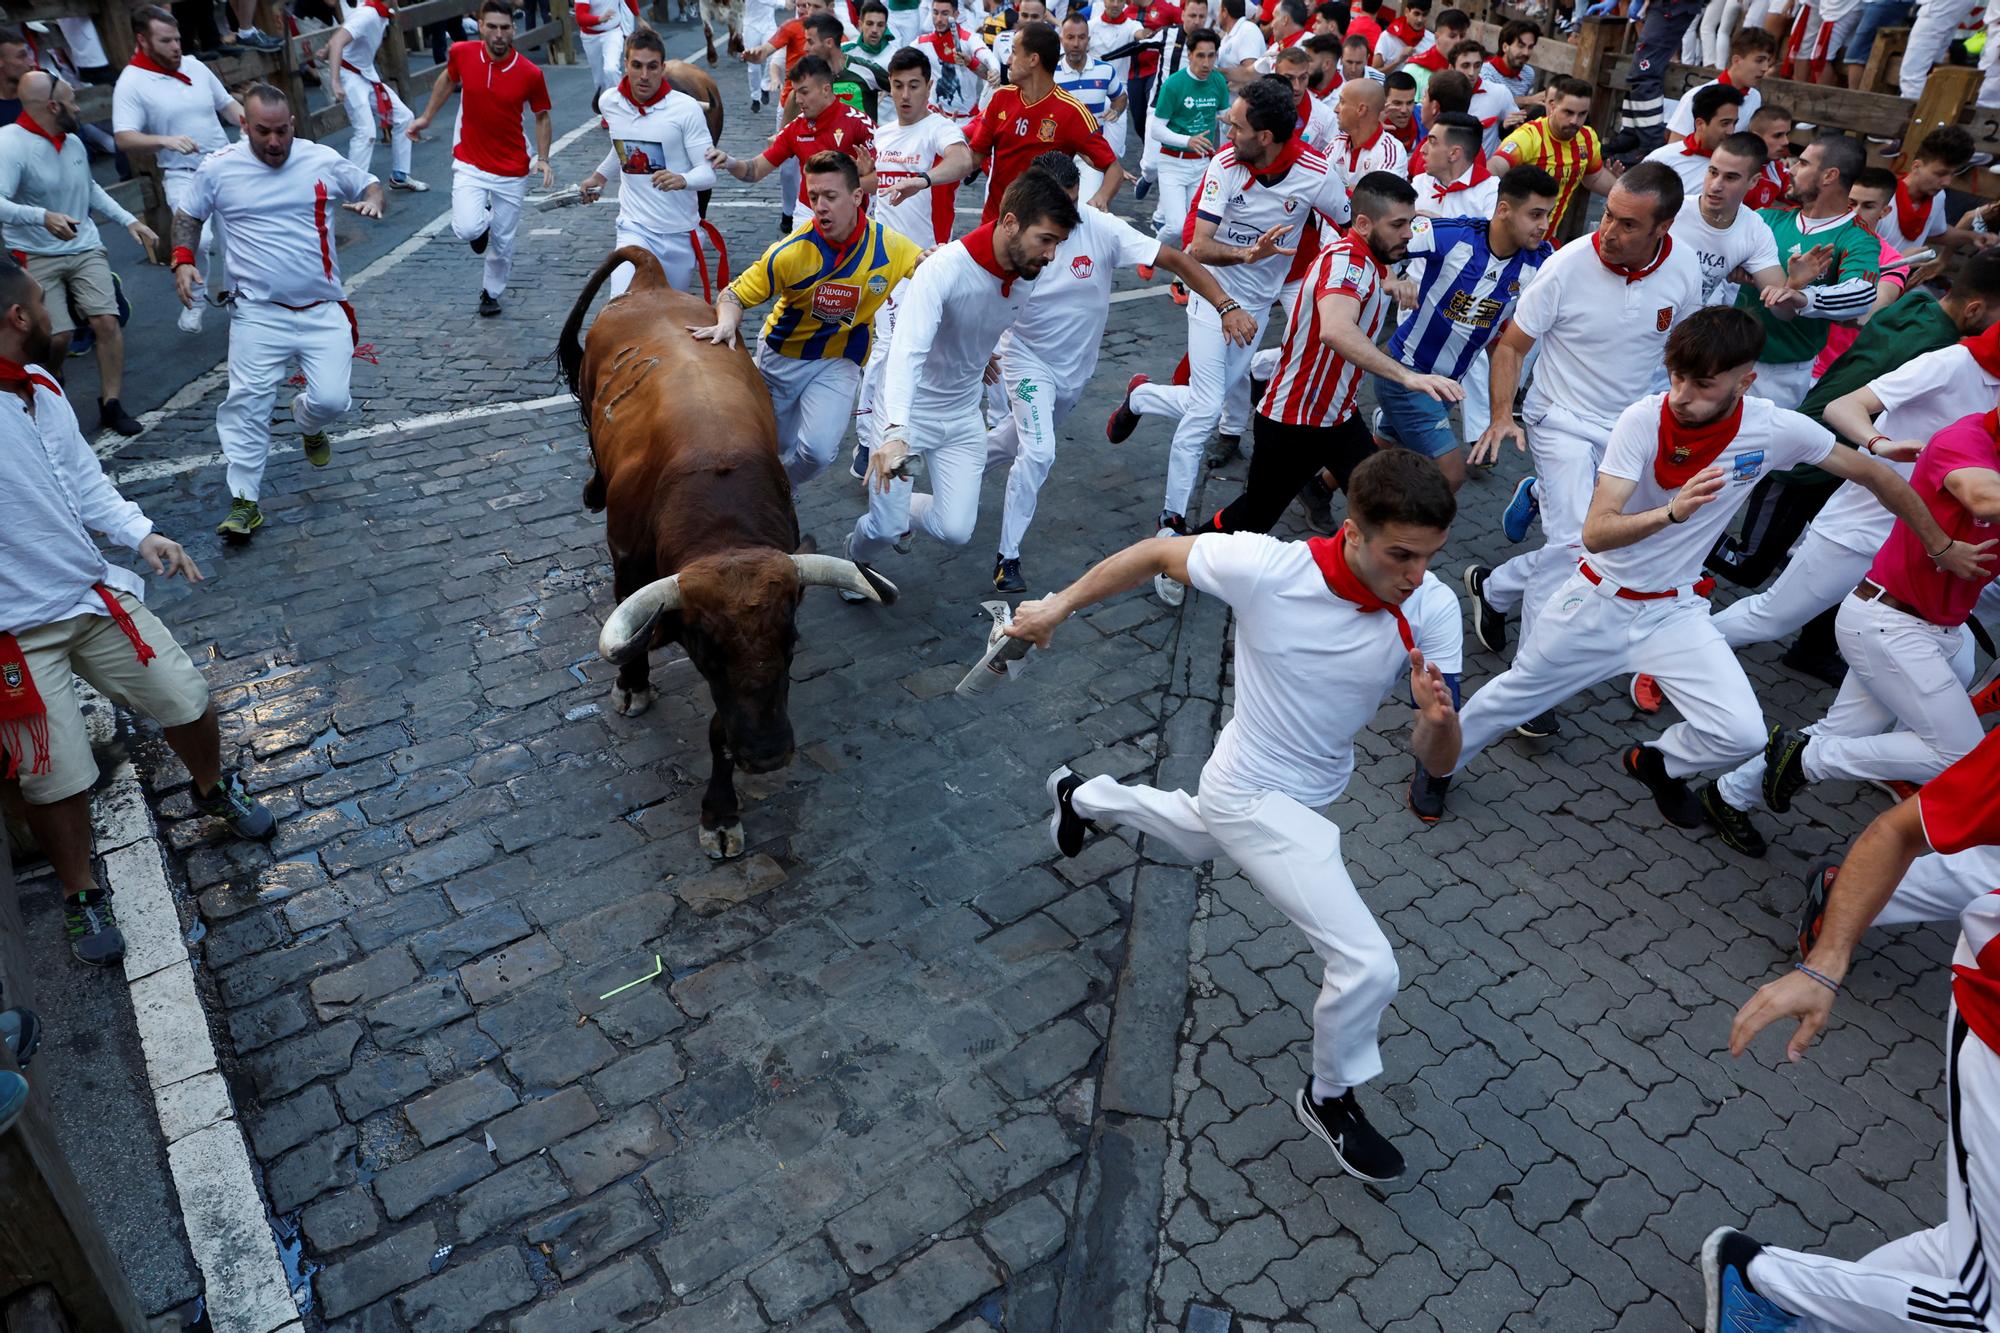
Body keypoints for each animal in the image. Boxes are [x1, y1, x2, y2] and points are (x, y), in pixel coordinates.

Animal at [568, 244, 904, 856]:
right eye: (706, 653)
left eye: (791, 643)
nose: (768, 755)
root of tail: (652, 281)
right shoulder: (627, 563)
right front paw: (633, 686)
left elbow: (722, 728)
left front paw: (721, 813)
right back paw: (591, 488)